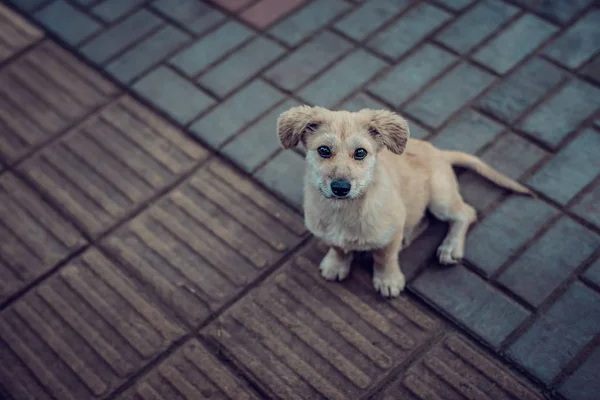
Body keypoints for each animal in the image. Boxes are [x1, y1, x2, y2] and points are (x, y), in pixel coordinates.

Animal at [276, 105, 536, 296]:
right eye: (323, 150)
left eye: (360, 152)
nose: (340, 188)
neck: (344, 210)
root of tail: (439, 152)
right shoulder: (329, 234)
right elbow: (338, 248)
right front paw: (336, 265)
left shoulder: (389, 233)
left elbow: (384, 258)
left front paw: (388, 281)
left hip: (440, 199)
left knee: (466, 213)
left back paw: (450, 247)